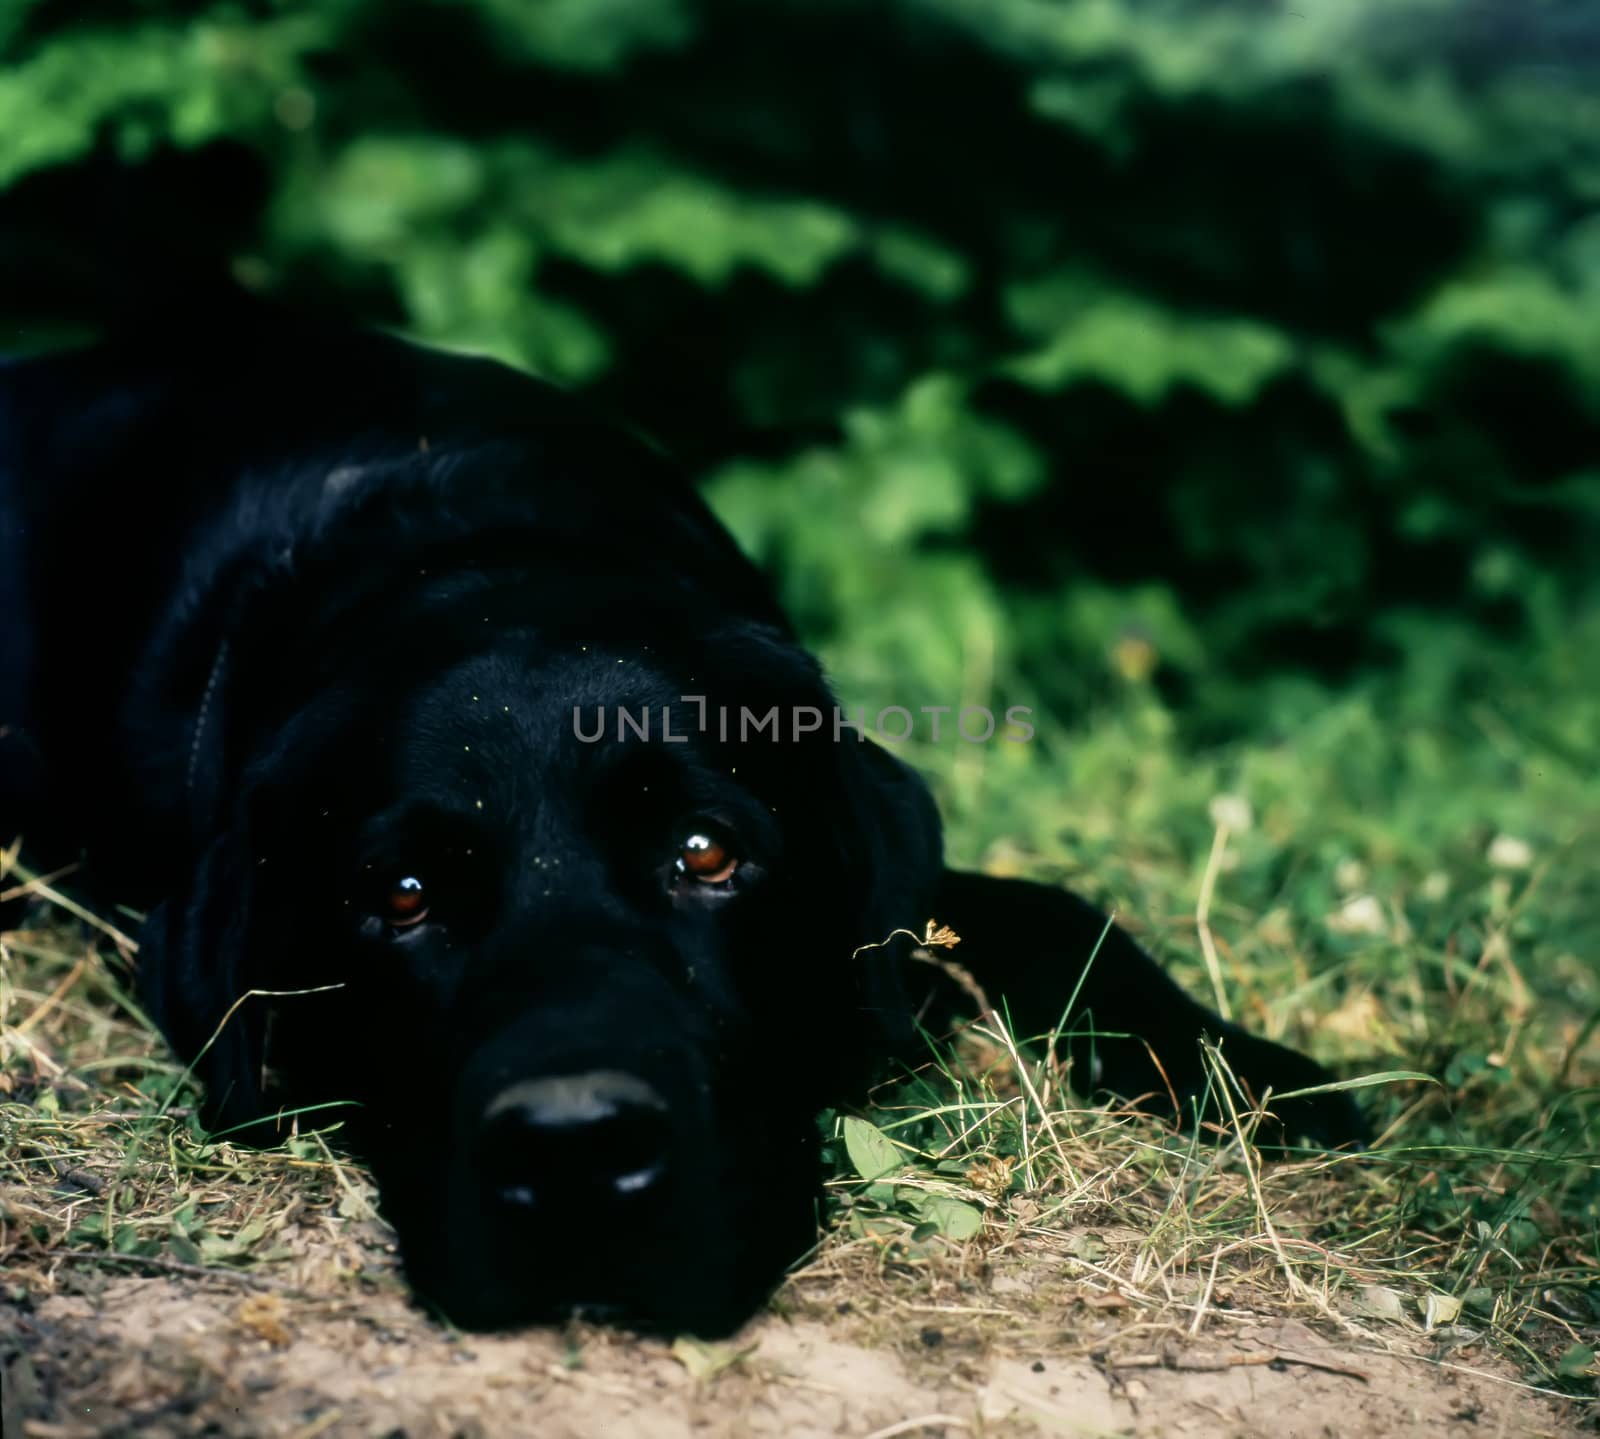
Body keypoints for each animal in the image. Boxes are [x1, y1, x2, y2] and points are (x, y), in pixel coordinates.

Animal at [3, 307, 1363, 1338]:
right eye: (400, 894)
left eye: (707, 851)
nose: (572, 1151)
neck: (486, 544)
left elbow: (1060, 908)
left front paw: (1264, 1075)